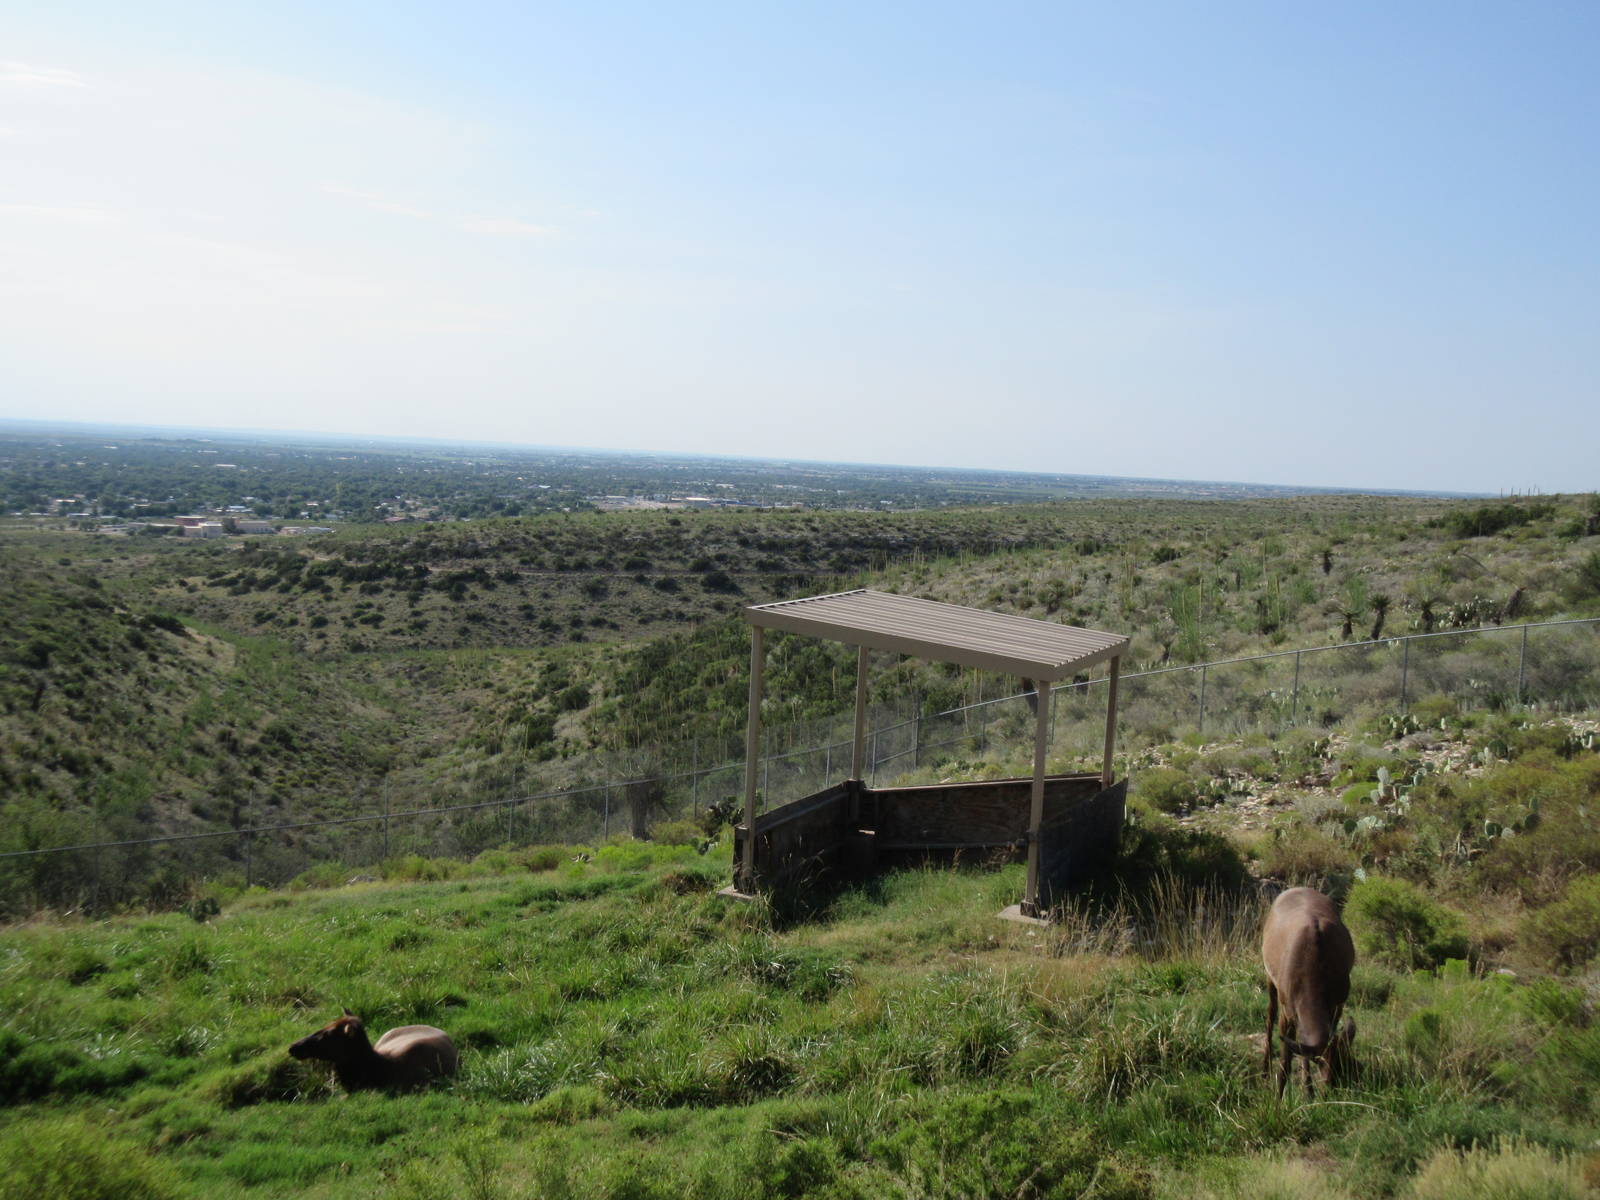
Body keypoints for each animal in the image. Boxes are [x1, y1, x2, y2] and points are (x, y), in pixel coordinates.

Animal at [1262, 887, 1356, 1097]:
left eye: (1342, 1058)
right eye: (1319, 1061)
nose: (1330, 1089)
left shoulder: (1338, 1003)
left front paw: (1308, 1091)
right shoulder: (1287, 1010)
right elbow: (1285, 1062)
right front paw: (1278, 1097)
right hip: (1270, 978)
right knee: (1270, 1014)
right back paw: (1264, 1071)